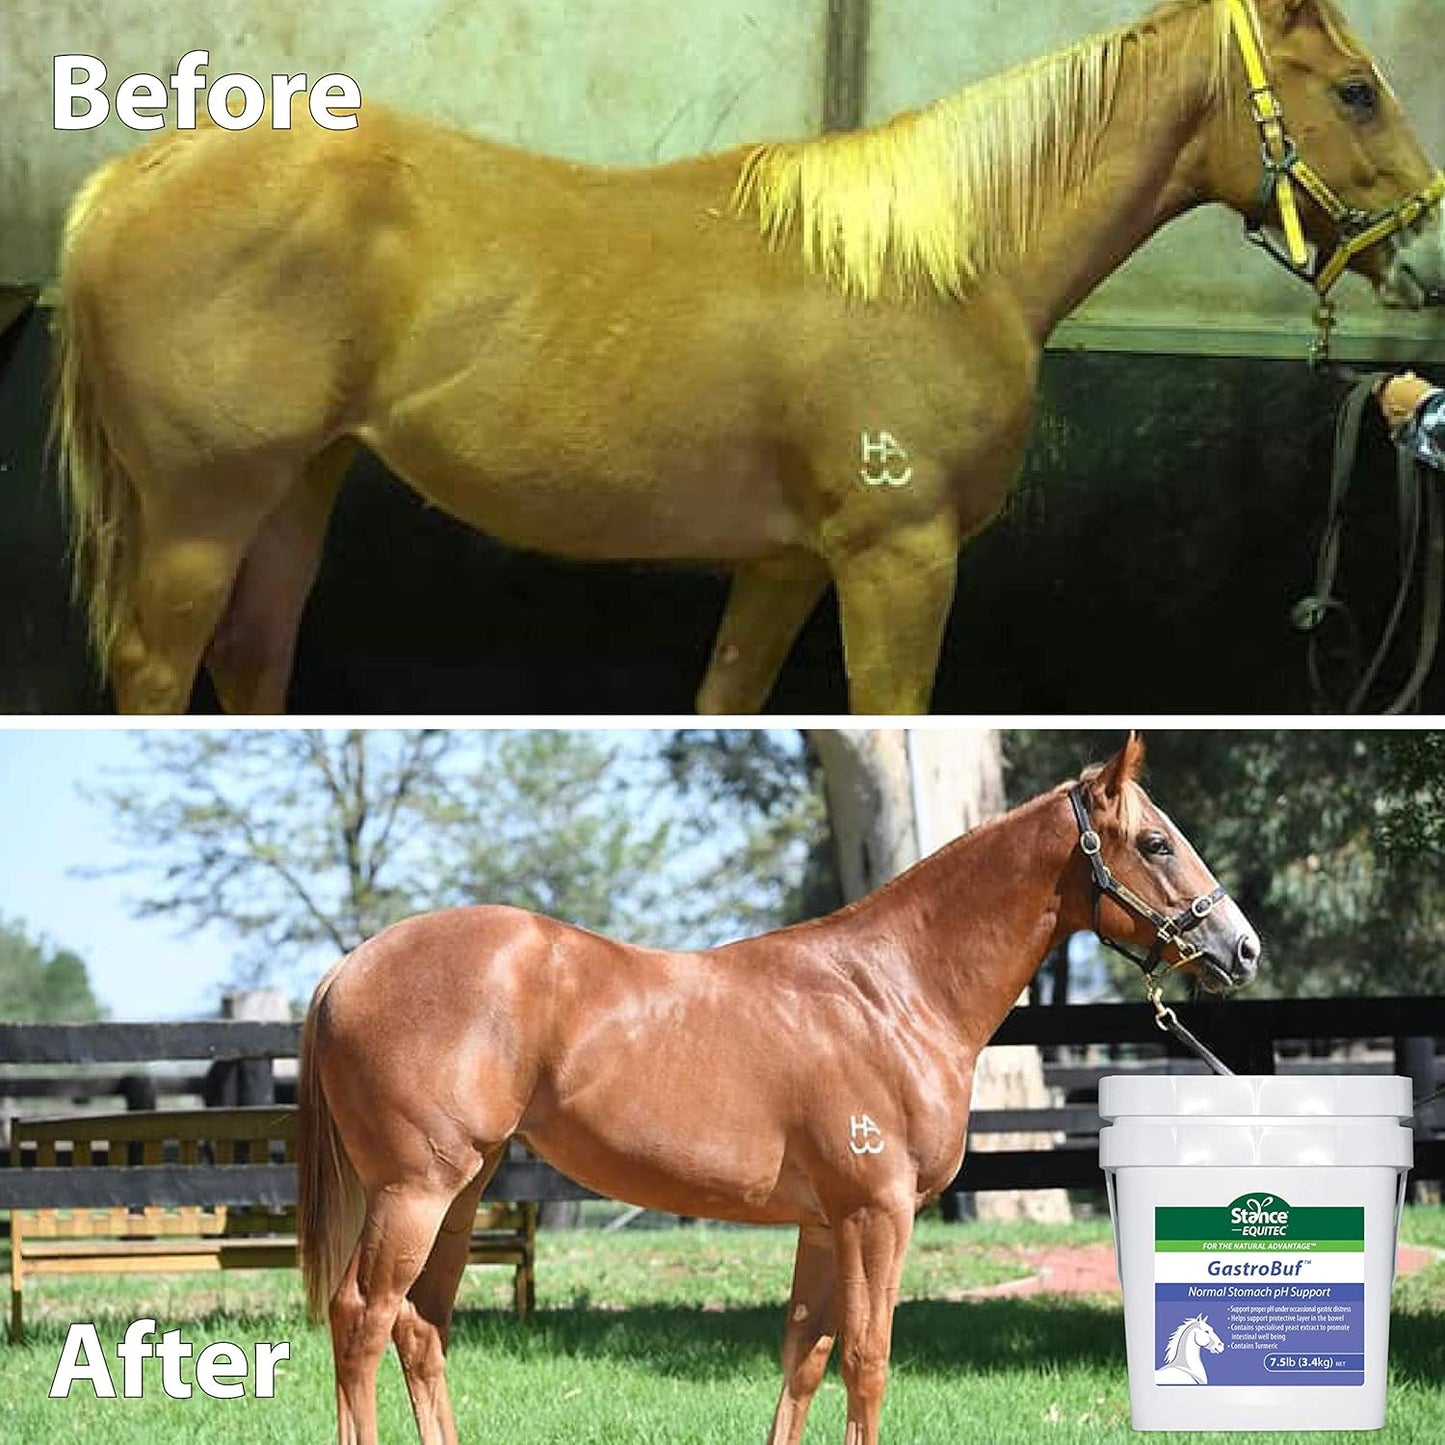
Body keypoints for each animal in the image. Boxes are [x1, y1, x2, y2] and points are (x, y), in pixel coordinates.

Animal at [48, 0, 1445, 715]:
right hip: (200, 511)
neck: (944, 258)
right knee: (161, 670)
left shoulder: (782, 564)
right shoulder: (895, 560)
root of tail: (135, 172)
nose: (1424, 251)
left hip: (301, 482)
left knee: (253, 655)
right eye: (1356, 88)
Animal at [296, 734, 1261, 1444]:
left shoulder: (823, 1223)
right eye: (1155, 842)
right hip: (414, 1191)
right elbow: (866, 1359)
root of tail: (348, 966)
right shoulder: (876, 1214)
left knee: (421, 1328)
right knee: (361, 1318)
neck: (891, 991)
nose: (1241, 948)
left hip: (463, 1190)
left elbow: (805, 1354)